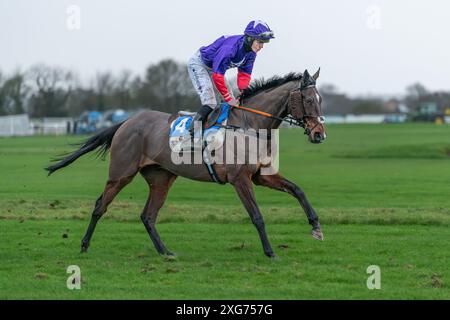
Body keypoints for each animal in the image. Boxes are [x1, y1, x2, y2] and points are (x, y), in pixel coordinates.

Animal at [45, 68, 326, 258]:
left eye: (321, 99)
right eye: (308, 100)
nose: (319, 134)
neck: (250, 124)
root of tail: (126, 121)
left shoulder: (261, 175)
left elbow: (298, 190)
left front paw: (316, 227)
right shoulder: (240, 179)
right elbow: (256, 215)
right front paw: (270, 251)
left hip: (161, 178)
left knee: (148, 216)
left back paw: (165, 251)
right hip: (121, 173)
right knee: (100, 205)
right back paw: (84, 245)